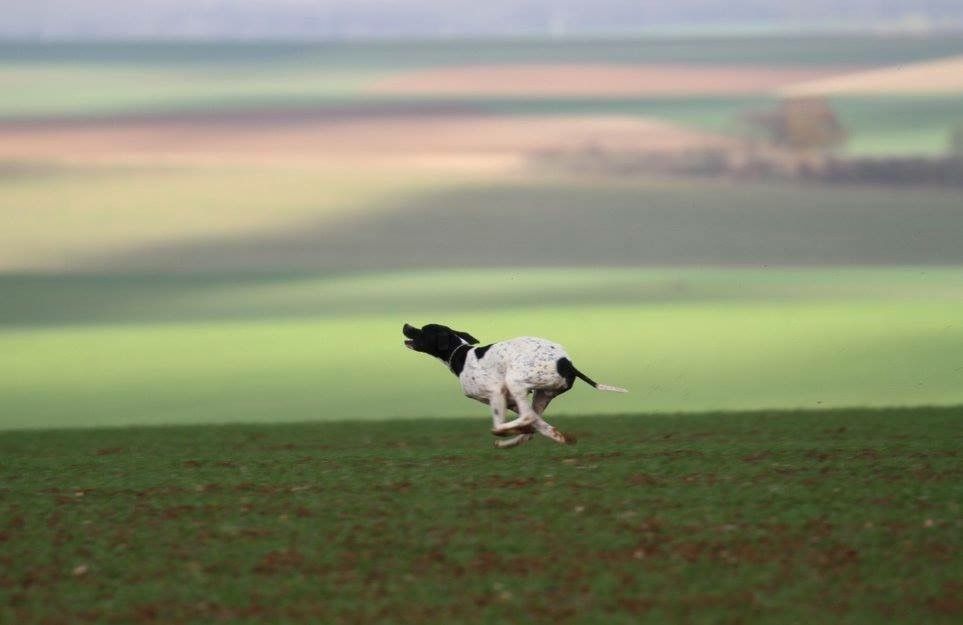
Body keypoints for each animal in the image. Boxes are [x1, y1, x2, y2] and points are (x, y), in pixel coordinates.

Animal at [402, 322, 628, 448]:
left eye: (423, 330)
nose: (405, 325)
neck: (460, 354)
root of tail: (567, 364)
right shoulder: (509, 401)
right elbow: (537, 426)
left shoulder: (496, 392)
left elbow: (505, 423)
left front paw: (504, 430)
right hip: (541, 394)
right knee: (534, 426)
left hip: (515, 381)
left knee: (525, 419)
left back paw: (506, 434)